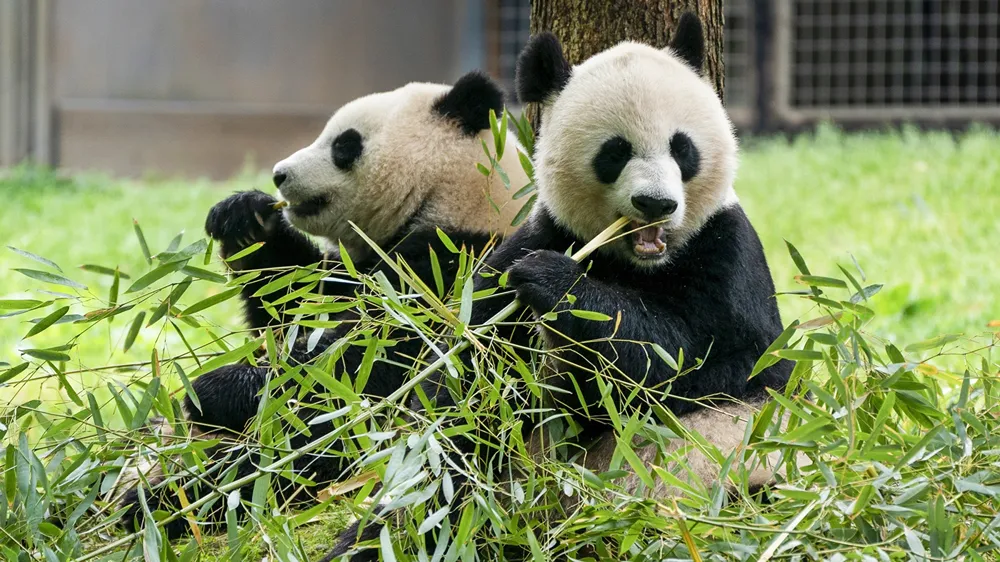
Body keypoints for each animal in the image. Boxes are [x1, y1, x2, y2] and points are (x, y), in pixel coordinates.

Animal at [116, 71, 532, 540]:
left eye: (344, 145)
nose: (279, 174)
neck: (456, 196)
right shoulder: (355, 268)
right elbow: (291, 306)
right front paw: (244, 218)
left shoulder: (454, 269)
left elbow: (366, 366)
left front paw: (215, 389)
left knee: (294, 459)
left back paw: (166, 502)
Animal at [328, 12, 796, 560]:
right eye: (615, 152)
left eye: (683, 149)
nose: (656, 204)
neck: (634, 262)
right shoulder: (535, 238)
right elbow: (470, 387)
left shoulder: (728, 256)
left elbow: (700, 361)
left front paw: (556, 283)